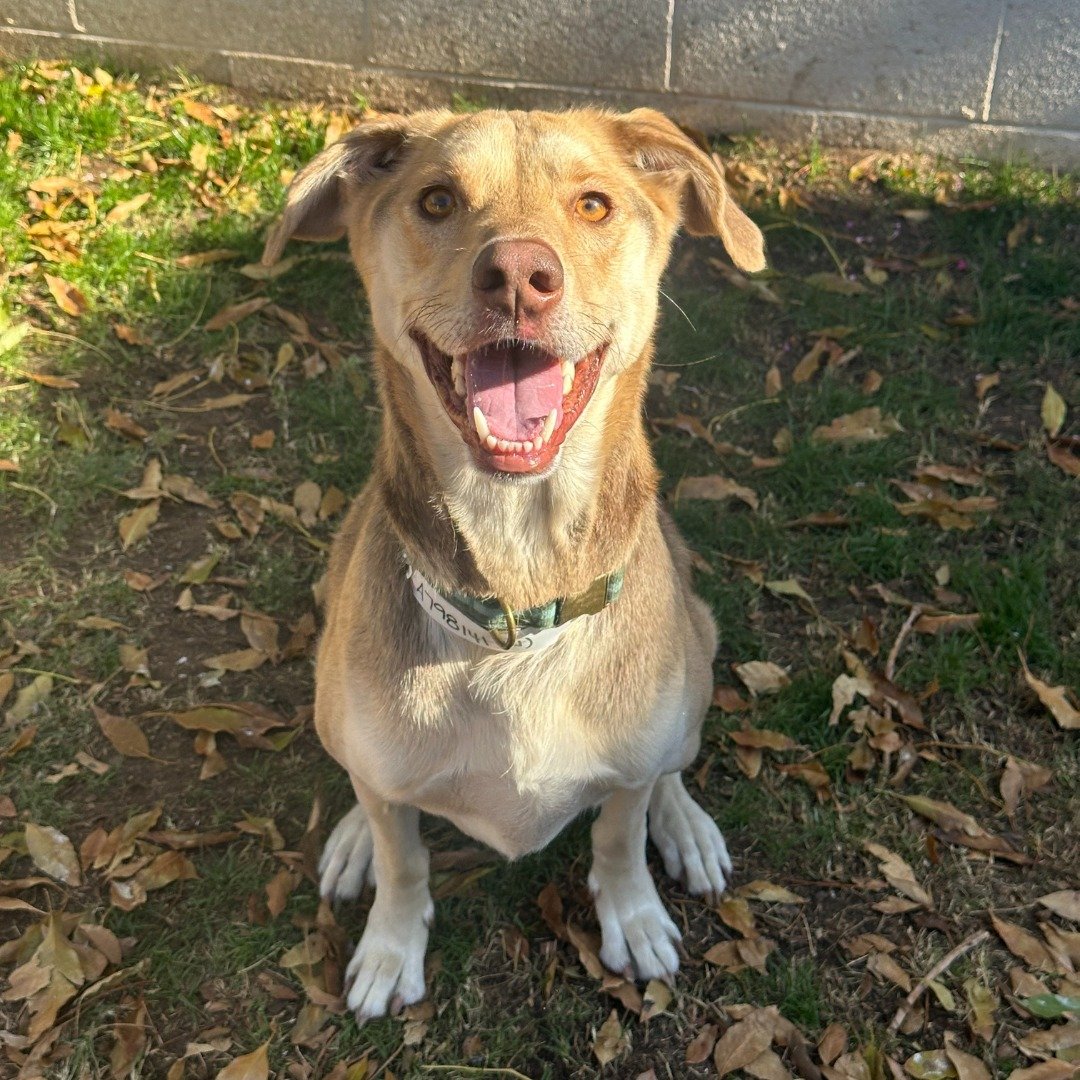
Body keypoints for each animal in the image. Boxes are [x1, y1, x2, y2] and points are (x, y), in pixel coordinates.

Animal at [264, 105, 764, 1015]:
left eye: (595, 204)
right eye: (436, 199)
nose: (519, 277)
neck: (518, 596)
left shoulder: (627, 771)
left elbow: (619, 832)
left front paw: (634, 912)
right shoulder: (389, 780)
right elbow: (404, 855)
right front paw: (390, 944)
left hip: (700, 648)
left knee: (671, 761)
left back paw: (683, 822)